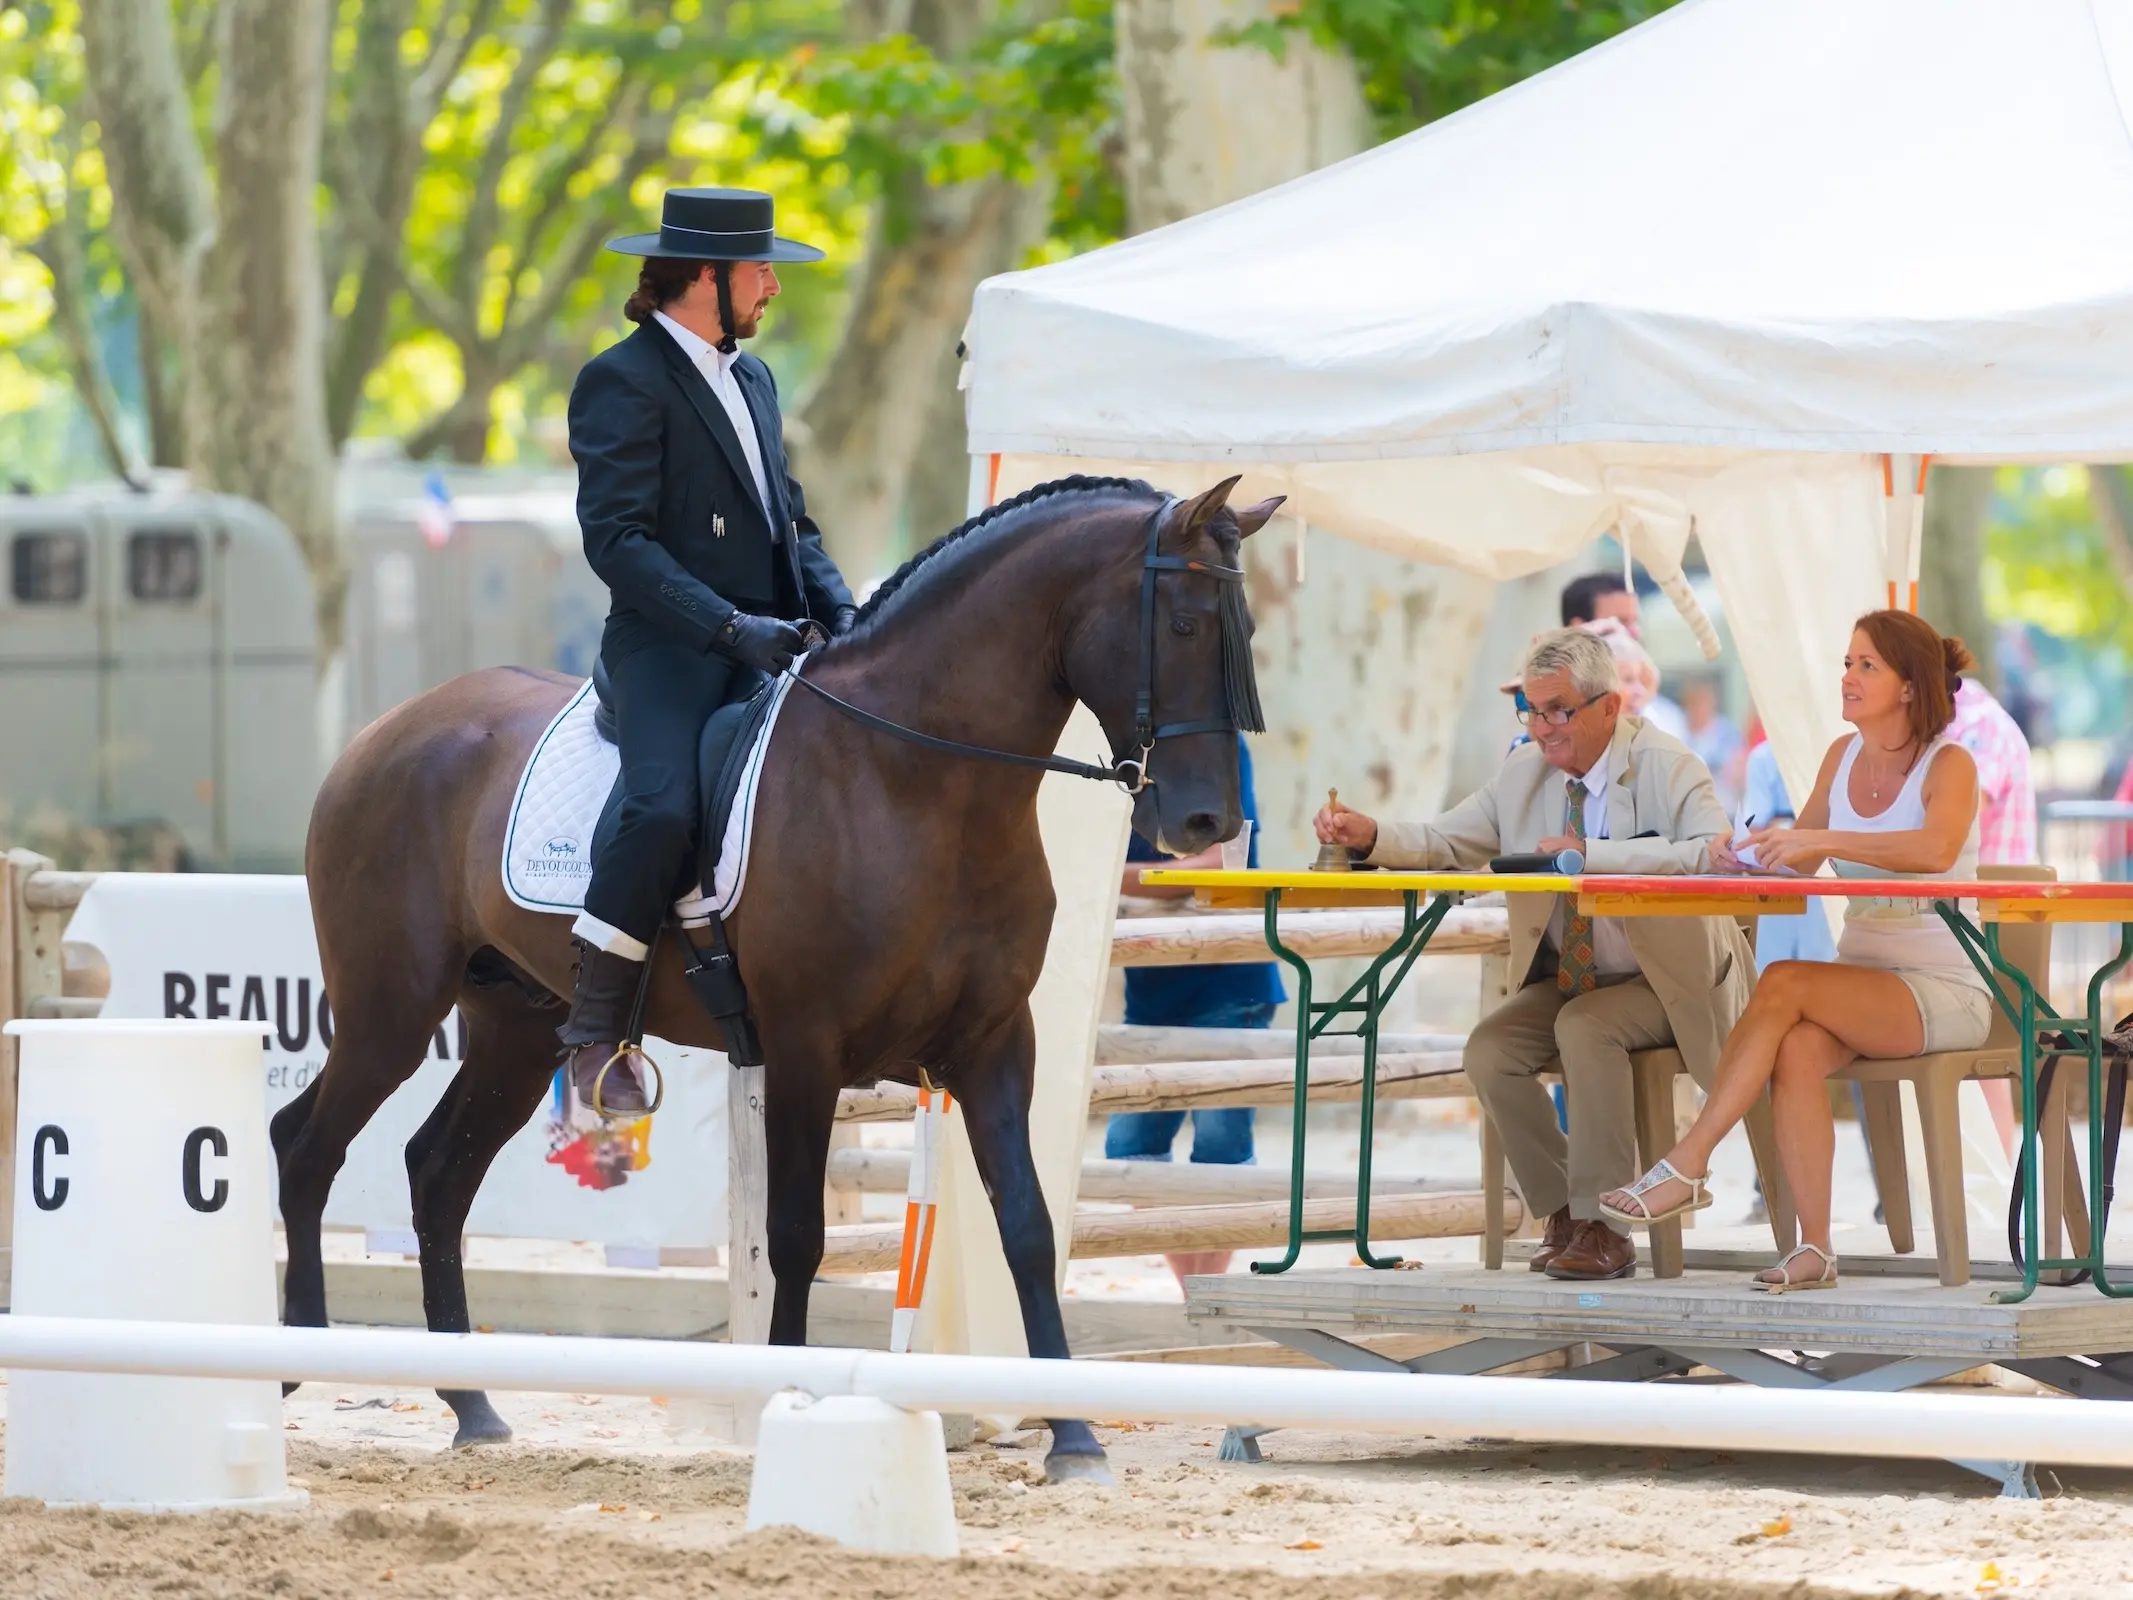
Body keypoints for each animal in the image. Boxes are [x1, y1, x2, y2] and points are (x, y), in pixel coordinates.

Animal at [266, 475, 1262, 1493]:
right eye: (1184, 624)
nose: (1206, 821)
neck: (919, 780)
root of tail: (383, 731)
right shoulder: (803, 1049)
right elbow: (795, 1236)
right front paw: (789, 1403)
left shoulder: (991, 1045)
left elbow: (1026, 1225)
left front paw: (1074, 1437)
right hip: (389, 1009)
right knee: (305, 1146)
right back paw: (292, 1365)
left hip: (515, 1027)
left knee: (437, 1173)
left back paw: (471, 1405)